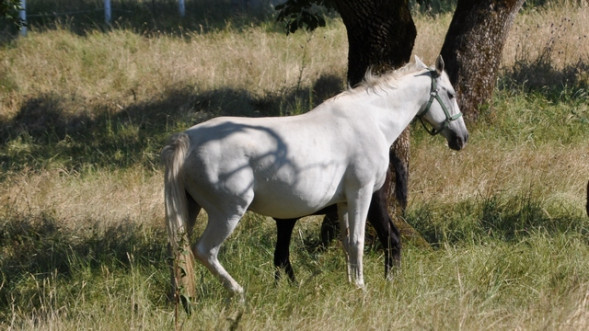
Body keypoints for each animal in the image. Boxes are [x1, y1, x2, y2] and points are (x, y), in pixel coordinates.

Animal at [162, 55, 468, 308]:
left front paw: (351, 284)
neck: (371, 119)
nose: (461, 137)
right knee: (205, 251)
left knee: (180, 251)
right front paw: (361, 288)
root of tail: (188, 140)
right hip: (227, 214)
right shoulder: (362, 193)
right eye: (450, 93)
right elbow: (358, 241)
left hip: (190, 211)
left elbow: (347, 242)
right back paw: (238, 293)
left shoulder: (344, 202)